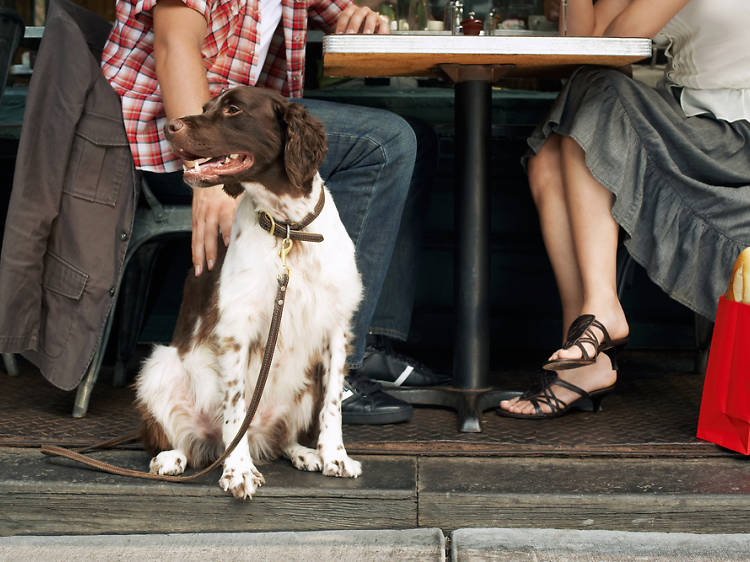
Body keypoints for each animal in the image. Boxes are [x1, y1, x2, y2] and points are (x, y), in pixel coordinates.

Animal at [138, 85, 368, 496]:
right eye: (205, 107)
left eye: (233, 109)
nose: (169, 126)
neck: (290, 228)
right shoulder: (236, 329)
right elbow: (236, 406)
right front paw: (239, 470)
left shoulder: (337, 328)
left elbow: (333, 404)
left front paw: (335, 456)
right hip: (158, 367)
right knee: (186, 442)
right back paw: (172, 458)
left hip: (304, 385)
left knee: (280, 439)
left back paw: (303, 453)